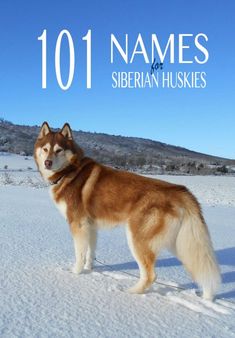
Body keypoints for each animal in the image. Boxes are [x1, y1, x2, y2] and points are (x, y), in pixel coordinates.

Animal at [34, 123, 220, 300]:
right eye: (46, 149)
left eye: (58, 150)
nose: (48, 163)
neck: (70, 171)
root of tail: (179, 190)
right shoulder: (90, 227)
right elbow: (90, 252)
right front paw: (89, 269)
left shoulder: (77, 225)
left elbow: (79, 254)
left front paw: (75, 273)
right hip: (180, 243)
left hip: (137, 239)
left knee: (150, 275)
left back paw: (131, 292)